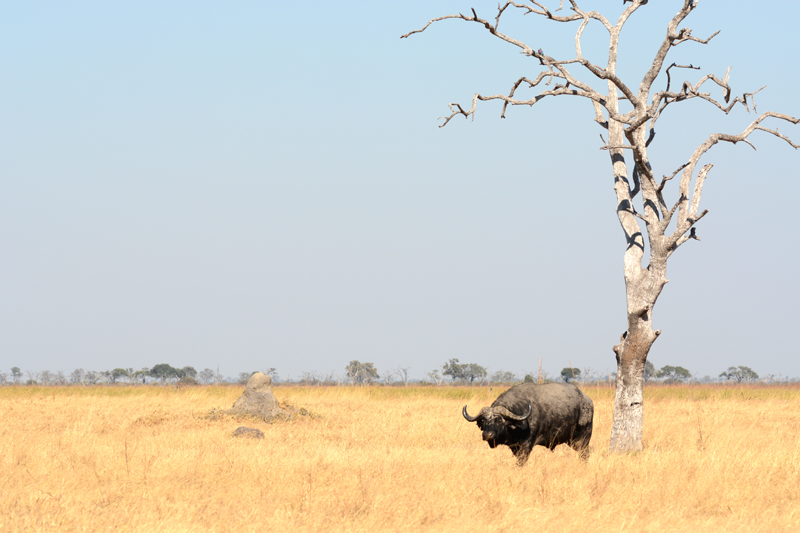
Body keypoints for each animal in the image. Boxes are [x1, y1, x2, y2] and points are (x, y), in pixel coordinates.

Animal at [462, 382, 593, 465]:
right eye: (483, 420)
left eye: (499, 420)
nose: (487, 435)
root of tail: (587, 400)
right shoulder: (514, 447)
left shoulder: (526, 446)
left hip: (583, 439)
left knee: (585, 455)